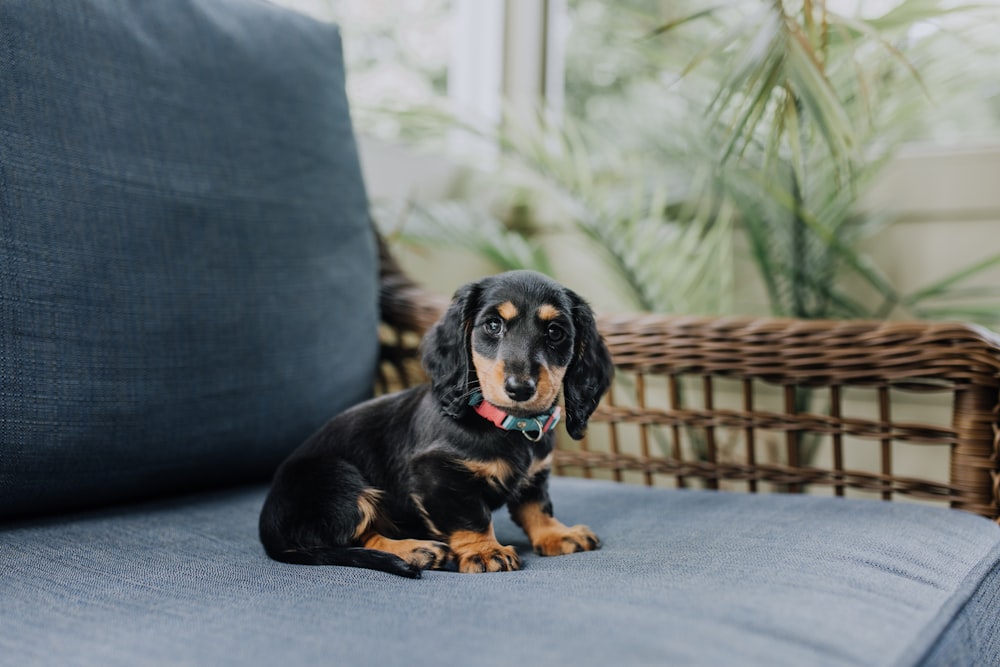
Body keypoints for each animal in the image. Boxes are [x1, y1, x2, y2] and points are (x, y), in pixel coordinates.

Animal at [256, 272, 616, 580]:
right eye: (493, 325)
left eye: (555, 332)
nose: (520, 389)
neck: (504, 422)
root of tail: (268, 532)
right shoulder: (438, 475)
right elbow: (471, 517)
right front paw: (485, 552)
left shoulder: (535, 474)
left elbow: (536, 507)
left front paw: (557, 534)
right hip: (336, 480)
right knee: (352, 537)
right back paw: (416, 550)